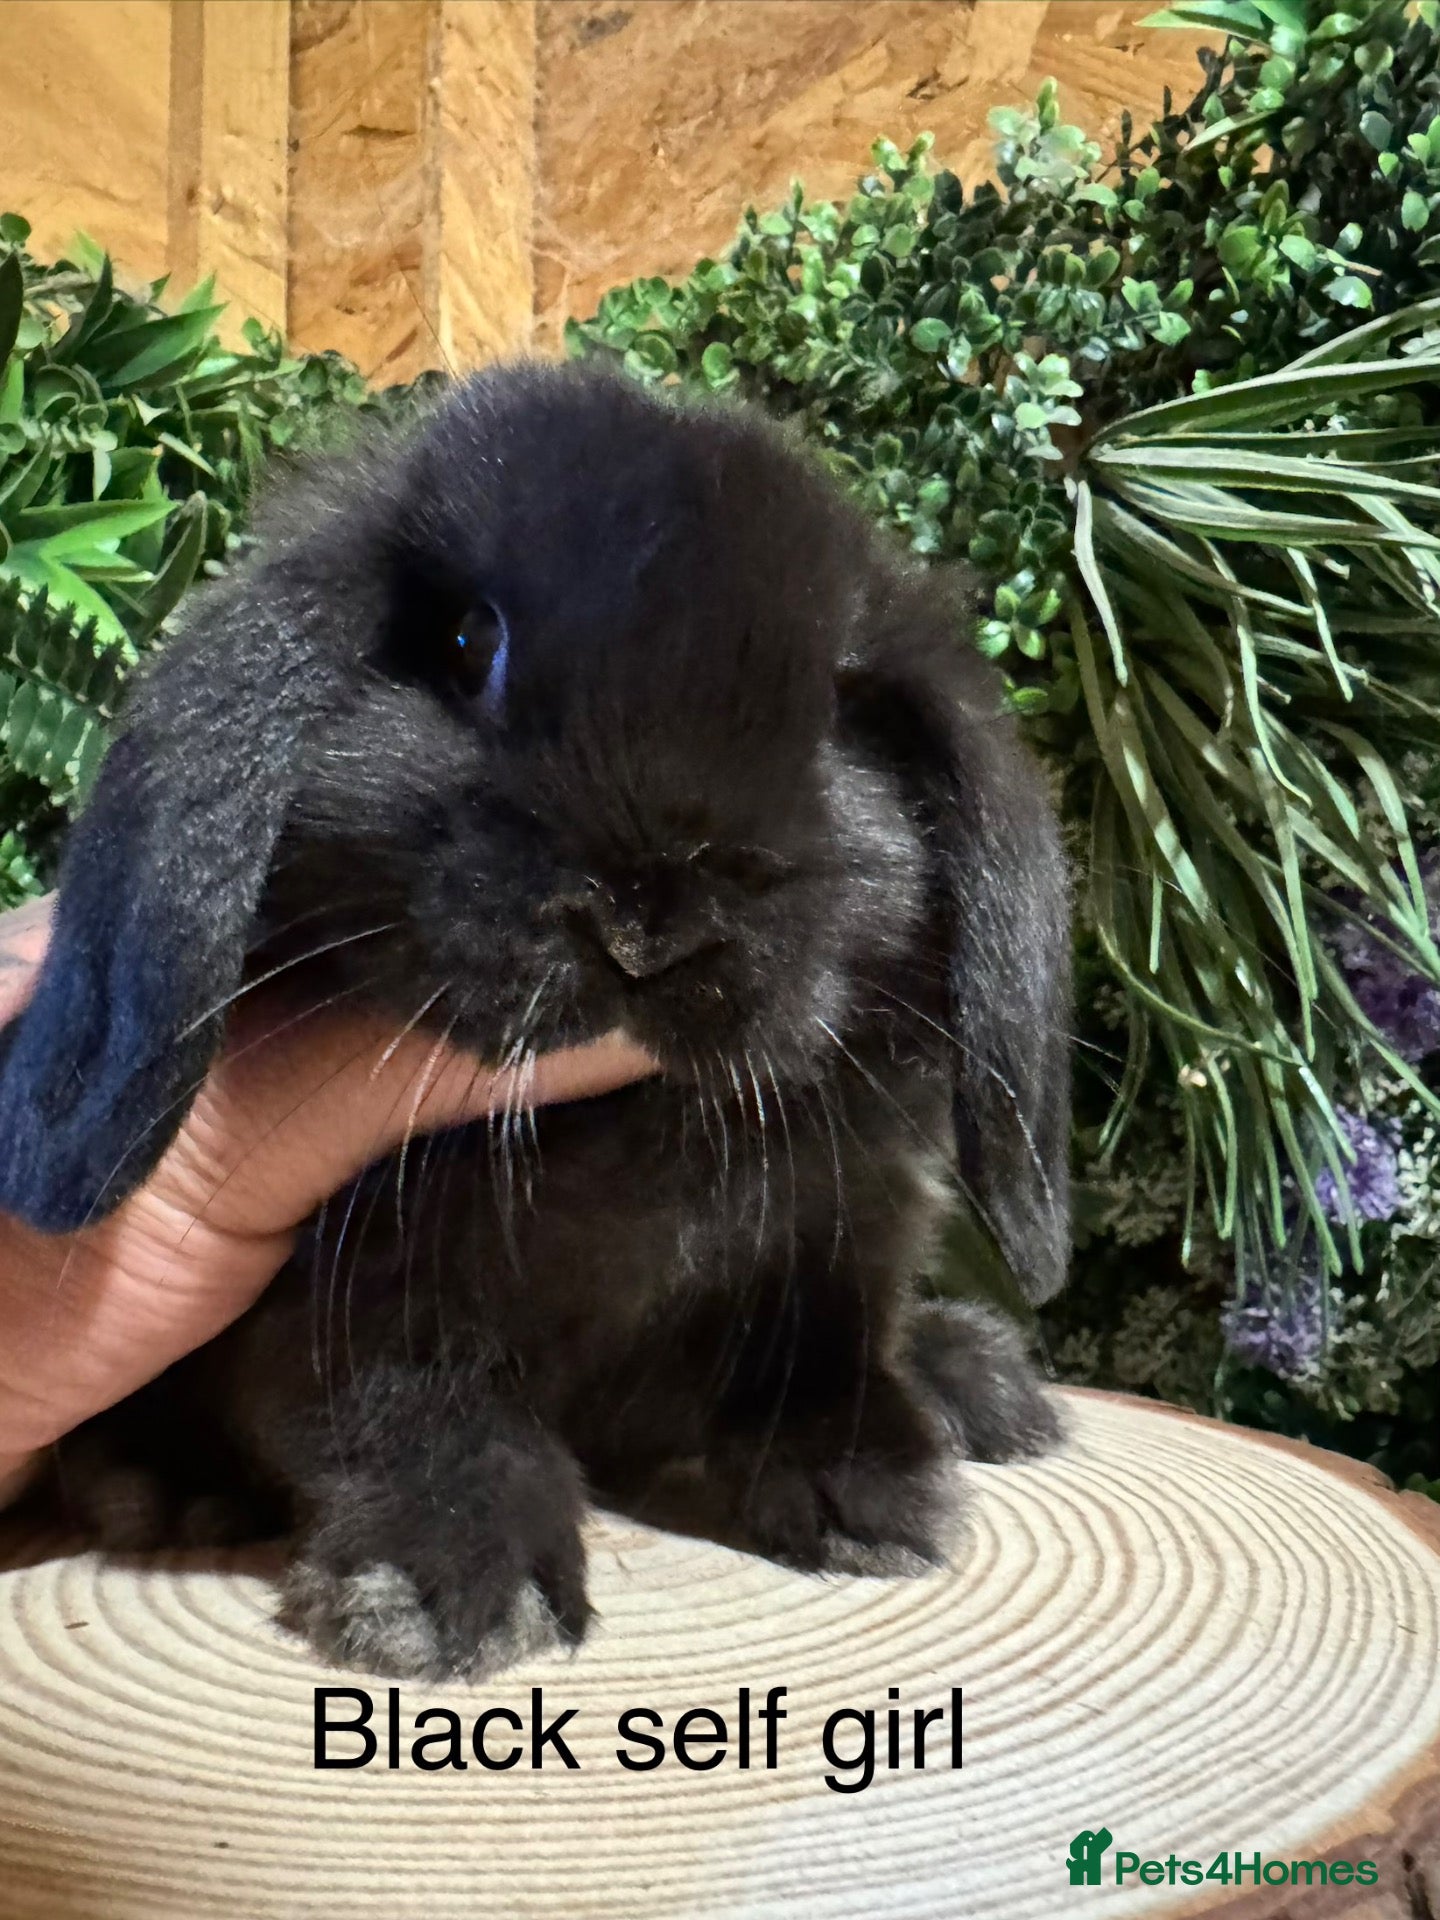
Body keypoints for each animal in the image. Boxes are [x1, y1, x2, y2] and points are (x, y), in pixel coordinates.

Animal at [0, 361, 1071, 1680]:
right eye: (471, 644)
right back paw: (162, 1489)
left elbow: (819, 1344)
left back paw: (974, 1377)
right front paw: (451, 1589)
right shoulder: (355, 1291)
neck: (636, 1132)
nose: (647, 918)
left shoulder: (846, 1218)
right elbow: (415, 1410)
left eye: (832, 708)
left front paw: (867, 1491)